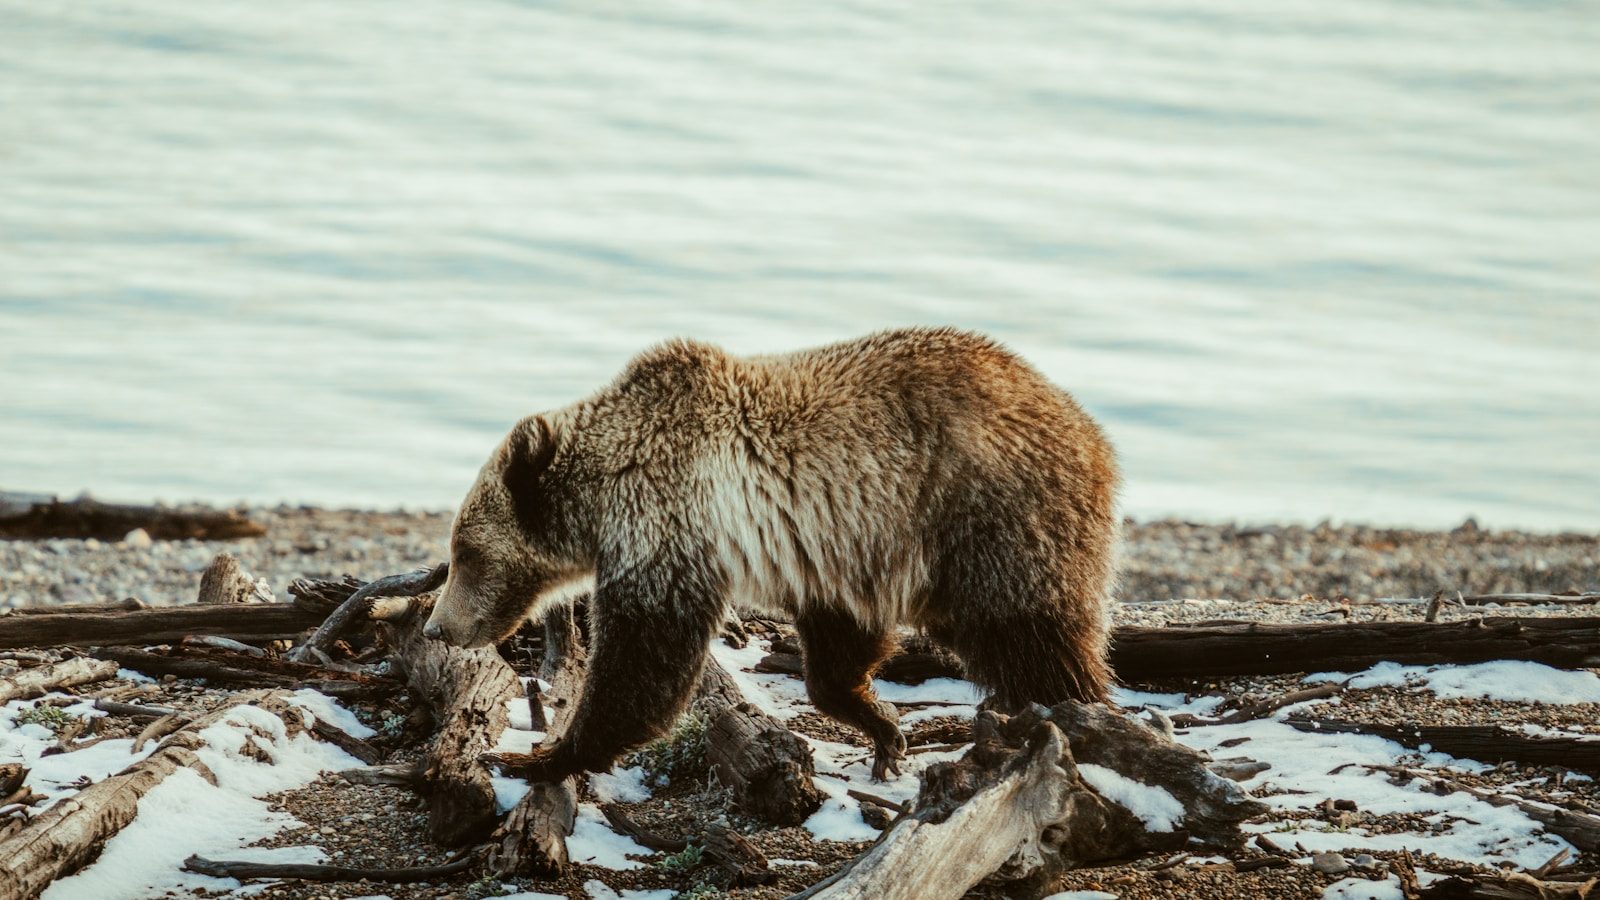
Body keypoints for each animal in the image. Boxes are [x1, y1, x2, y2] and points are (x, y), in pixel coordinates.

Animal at [423, 326, 1119, 783]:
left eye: (467, 552)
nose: (438, 626)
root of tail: (1095, 438)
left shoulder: (668, 526)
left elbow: (643, 664)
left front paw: (541, 754)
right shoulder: (835, 549)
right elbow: (839, 648)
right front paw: (880, 726)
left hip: (987, 519)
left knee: (1034, 640)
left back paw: (1075, 721)